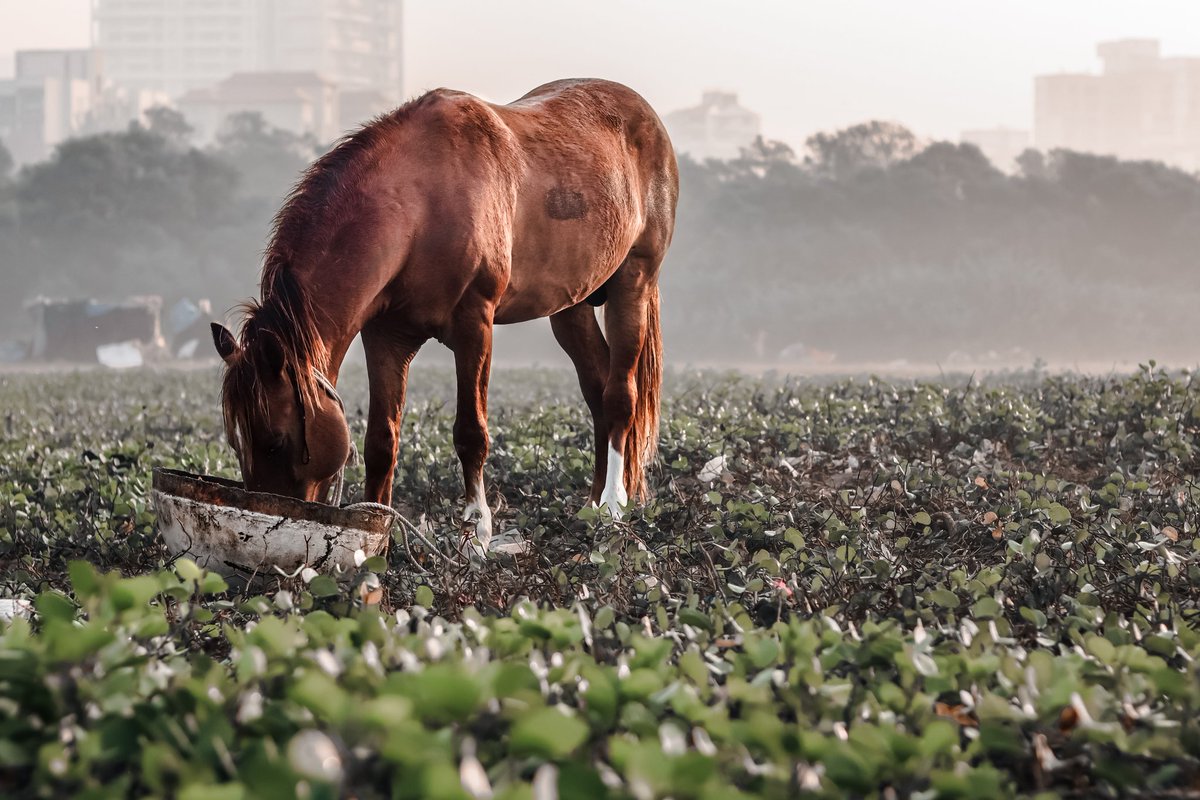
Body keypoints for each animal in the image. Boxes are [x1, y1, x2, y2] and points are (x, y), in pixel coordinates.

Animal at [210, 79, 678, 550]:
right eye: (235, 443)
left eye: (274, 441)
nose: (270, 514)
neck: (421, 208)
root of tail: (646, 116)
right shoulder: (386, 337)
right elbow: (382, 441)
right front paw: (380, 535)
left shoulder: (474, 326)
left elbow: (471, 433)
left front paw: (477, 534)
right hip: (571, 307)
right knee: (597, 390)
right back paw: (592, 507)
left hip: (633, 283)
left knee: (620, 396)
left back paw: (614, 510)